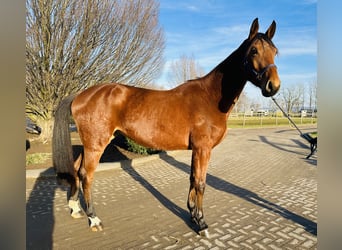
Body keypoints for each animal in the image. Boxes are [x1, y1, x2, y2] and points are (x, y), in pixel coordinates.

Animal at [52, 18, 280, 235]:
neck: (210, 97)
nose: (273, 86)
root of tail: (80, 95)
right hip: (96, 144)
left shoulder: (196, 150)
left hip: (91, 143)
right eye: (254, 50)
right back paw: (94, 219)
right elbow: (201, 183)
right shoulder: (203, 149)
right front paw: (202, 223)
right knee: (86, 174)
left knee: (76, 169)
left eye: (275, 52)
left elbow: (192, 179)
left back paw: (75, 208)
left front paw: (193, 215)